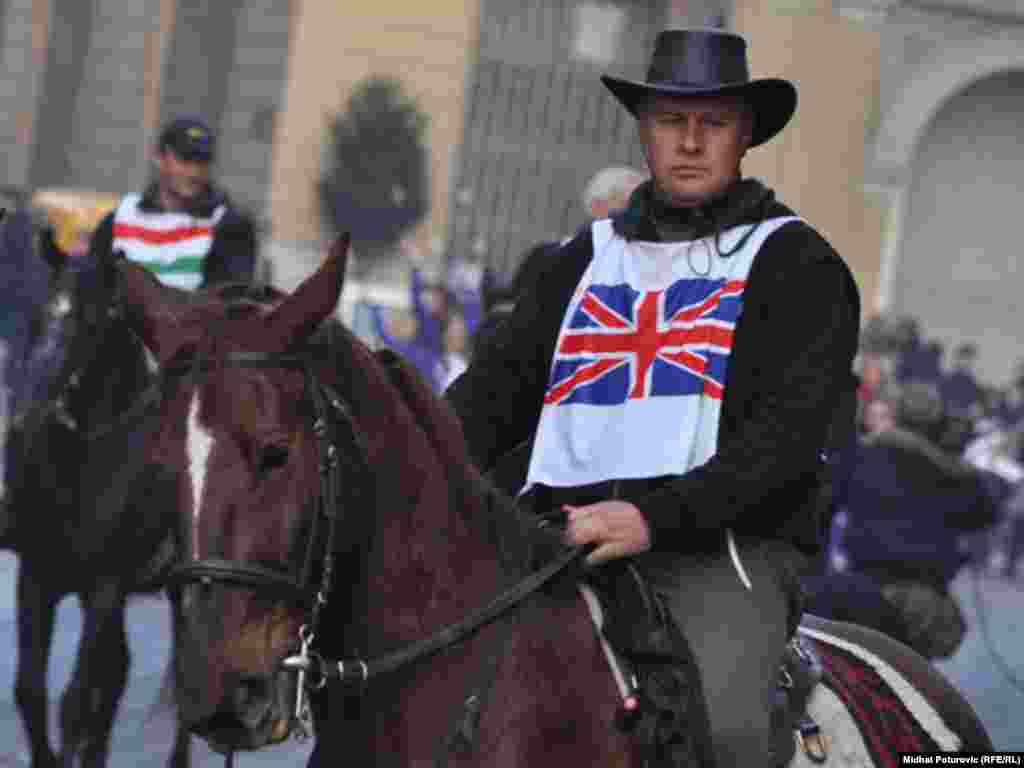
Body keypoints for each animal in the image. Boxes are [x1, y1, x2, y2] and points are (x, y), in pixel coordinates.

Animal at [2, 237, 191, 765]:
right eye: (38, 316)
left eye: (92, 321)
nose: (25, 416)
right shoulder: (39, 576)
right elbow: (30, 692)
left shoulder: (106, 584)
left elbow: (75, 701)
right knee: (116, 673)